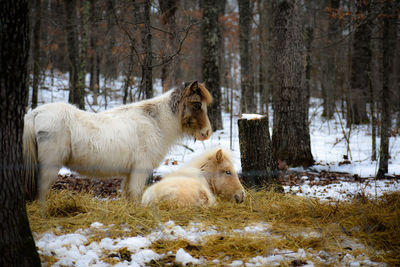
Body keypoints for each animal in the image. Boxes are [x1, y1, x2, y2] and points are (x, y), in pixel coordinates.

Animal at [22, 81, 212, 203]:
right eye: (197, 105)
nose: (207, 132)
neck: (155, 122)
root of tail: (35, 114)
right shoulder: (139, 170)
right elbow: (135, 195)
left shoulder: (129, 173)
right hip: (49, 167)